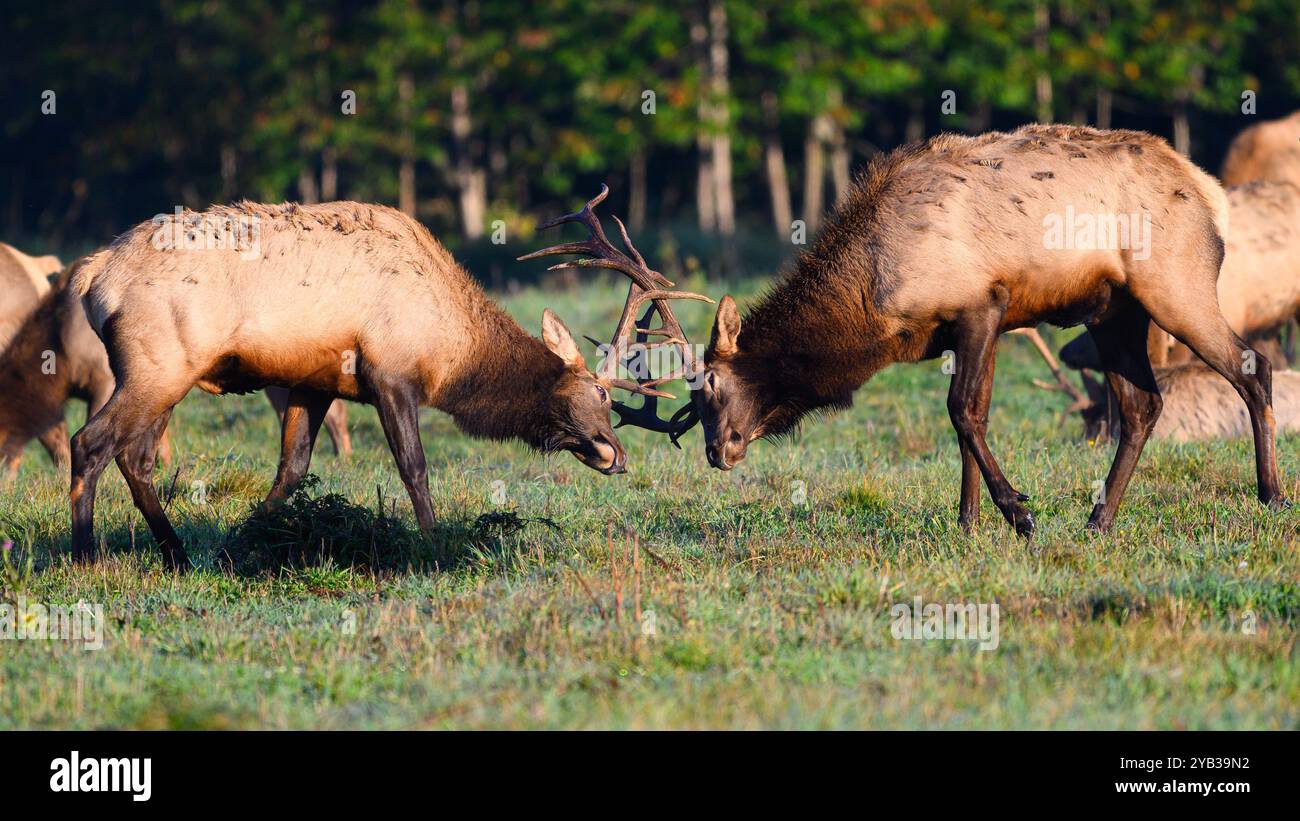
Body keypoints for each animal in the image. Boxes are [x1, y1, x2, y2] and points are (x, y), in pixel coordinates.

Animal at [691, 122, 1289, 532]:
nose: (717, 451)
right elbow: (971, 418)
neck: (873, 303)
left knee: (1252, 367)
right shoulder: (978, 324)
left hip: (1176, 286)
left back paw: (1272, 494)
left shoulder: (980, 304)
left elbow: (963, 411)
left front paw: (1017, 514)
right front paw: (968, 521)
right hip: (1113, 312)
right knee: (1142, 406)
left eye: (712, 384)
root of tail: (1211, 192)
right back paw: (1099, 520)